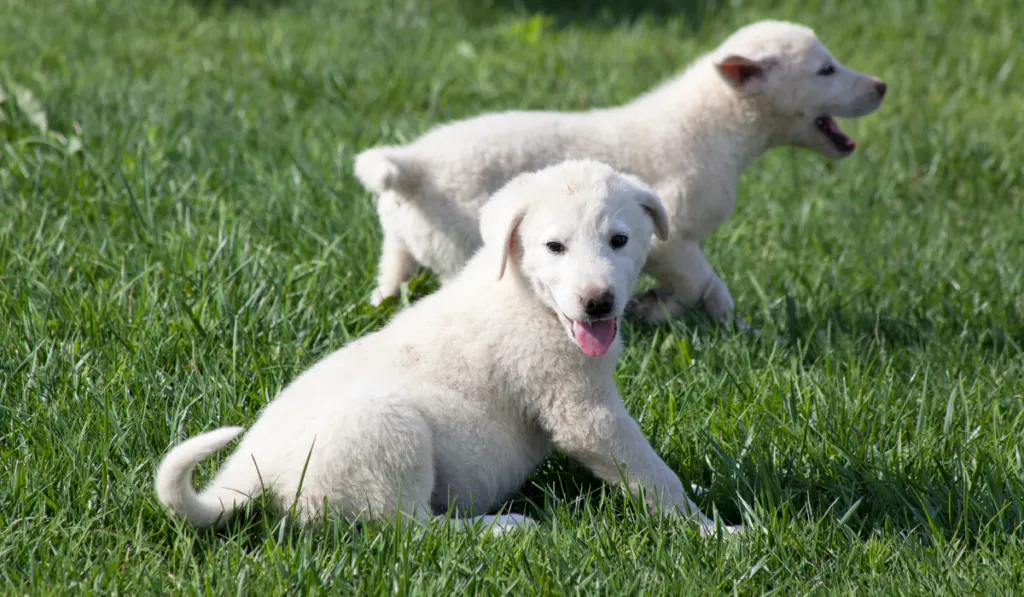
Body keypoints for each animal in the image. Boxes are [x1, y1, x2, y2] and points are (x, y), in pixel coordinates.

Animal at [153, 159, 737, 536]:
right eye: (554, 246)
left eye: (620, 240)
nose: (598, 303)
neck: (528, 297)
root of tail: (252, 471)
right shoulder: (584, 412)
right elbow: (652, 473)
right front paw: (714, 532)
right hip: (386, 432)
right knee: (412, 532)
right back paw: (501, 528)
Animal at [356, 19, 884, 321]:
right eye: (825, 71)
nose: (881, 86)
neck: (715, 127)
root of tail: (411, 165)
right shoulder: (674, 238)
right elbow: (703, 284)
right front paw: (685, 314)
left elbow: (701, 288)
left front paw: (676, 313)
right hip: (460, 248)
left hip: (402, 246)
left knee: (386, 286)